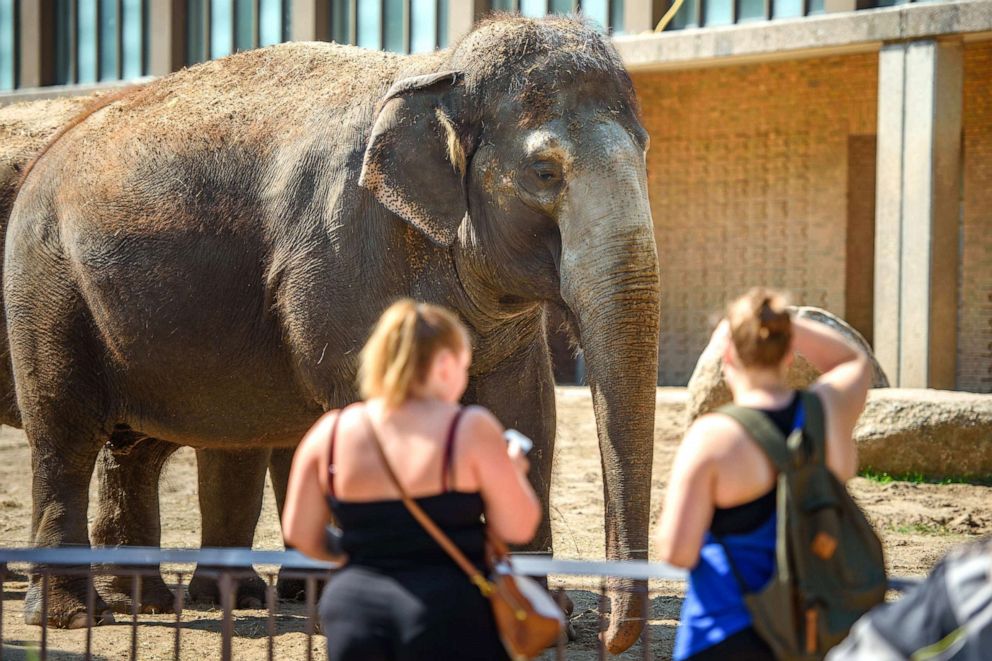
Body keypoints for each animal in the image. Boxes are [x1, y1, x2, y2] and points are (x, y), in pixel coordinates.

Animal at [7, 14, 664, 648]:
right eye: (544, 171)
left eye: (646, 150)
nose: (605, 633)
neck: (438, 70)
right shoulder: (343, 251)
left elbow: (526, 411)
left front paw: (537, 621)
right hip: (46, 287)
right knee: (64, 435)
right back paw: (73, 618)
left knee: (139, 446)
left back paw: (146, 605)